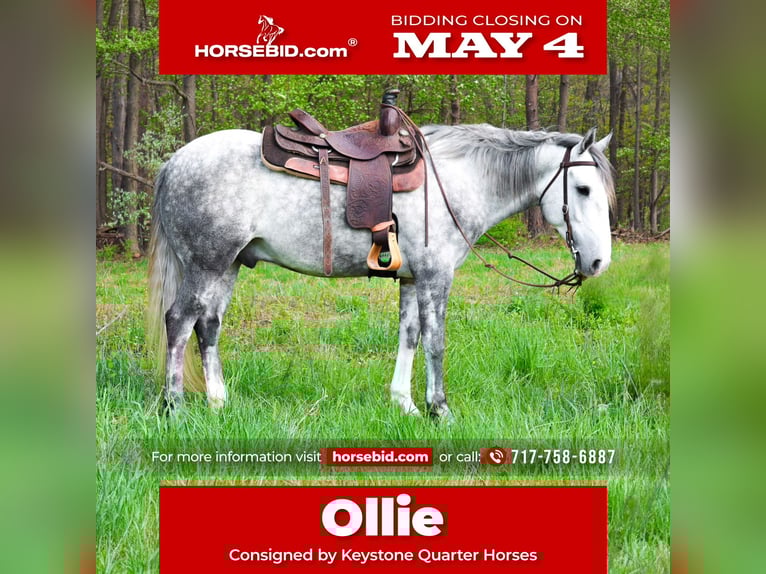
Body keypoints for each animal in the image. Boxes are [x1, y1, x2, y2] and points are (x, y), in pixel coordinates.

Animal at [147, 123, 614, 421]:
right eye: (583, 189)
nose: (597, 263)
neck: (455, 183)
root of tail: (173, 163)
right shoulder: (435, 279)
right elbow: (436, 343)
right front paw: (440, 410)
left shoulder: (411, 280)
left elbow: (409, 337)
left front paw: (403, 403)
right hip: (205, 265)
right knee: (179, 322)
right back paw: (175, 407)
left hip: (227, 265)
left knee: (208, 326)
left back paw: (218, 403)